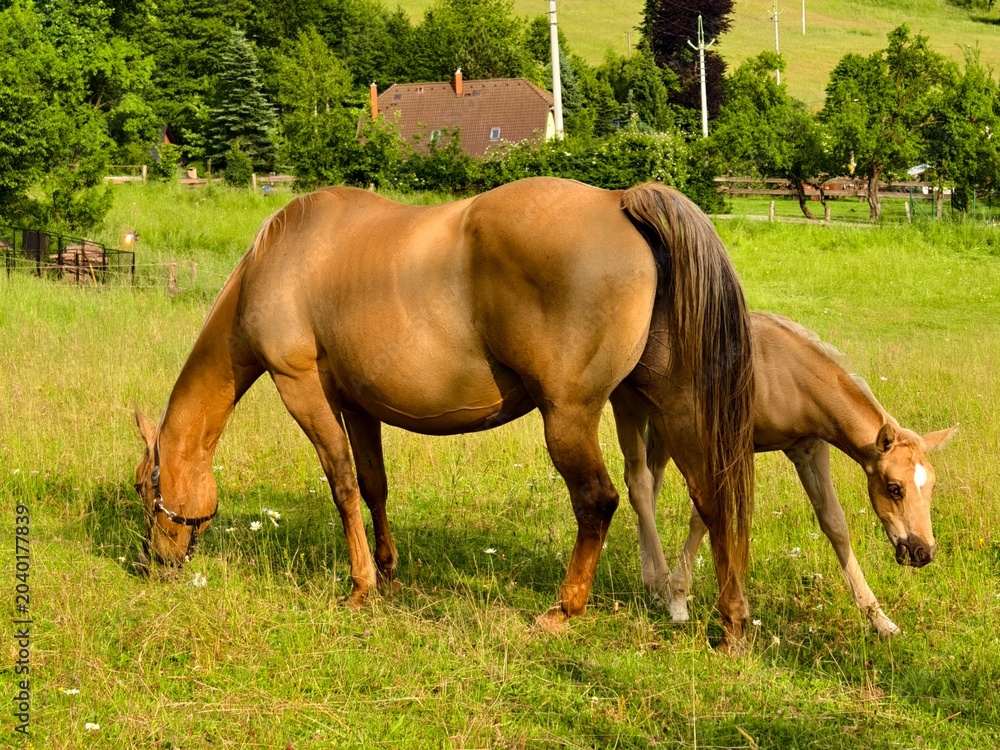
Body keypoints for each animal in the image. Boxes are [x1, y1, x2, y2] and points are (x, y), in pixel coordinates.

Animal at [131, 177, 757, 651]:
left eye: (144, 487)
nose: (152, 563)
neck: (281, 259)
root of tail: (617, 202)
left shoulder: (303, 388)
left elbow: (342, 485)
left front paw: (360, 587)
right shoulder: (358, 403)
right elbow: (374, 485)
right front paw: (387, 571)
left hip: (569, 417)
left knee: (598, 501)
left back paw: (564, 608)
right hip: (669, 406)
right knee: (711, 499)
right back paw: (730, 623)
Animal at [613, 312, 957, 636]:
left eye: (931, 487)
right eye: (894, 487)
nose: (923, 551)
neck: (788, 374)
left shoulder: (809, 450)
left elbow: (835, 524)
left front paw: (880, 620)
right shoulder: (724, 444)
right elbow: (702, 515)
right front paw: (678, 600)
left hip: (664, 421)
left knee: (652, 481)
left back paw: (649, 578)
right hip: (630, 403)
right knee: (639, 484)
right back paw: (657, 584)